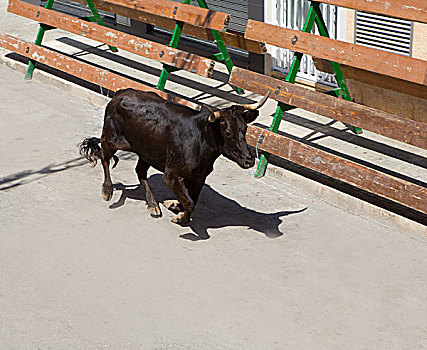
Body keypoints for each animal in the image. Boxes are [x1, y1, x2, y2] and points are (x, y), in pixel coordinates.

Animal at [78, 88, 270, 224]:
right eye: (228, 132)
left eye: (245, 129)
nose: (249, 160)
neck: (200, 138)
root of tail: (120, 94)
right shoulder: (171, 175)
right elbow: (190, 202)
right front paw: (180, 217)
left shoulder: (199, 177)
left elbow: (192, 199)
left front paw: (175, 205)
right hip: (111, 138)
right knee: (104, 156)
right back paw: (107, 190)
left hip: (146, 152)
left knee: (140, 171)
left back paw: (152, 205)